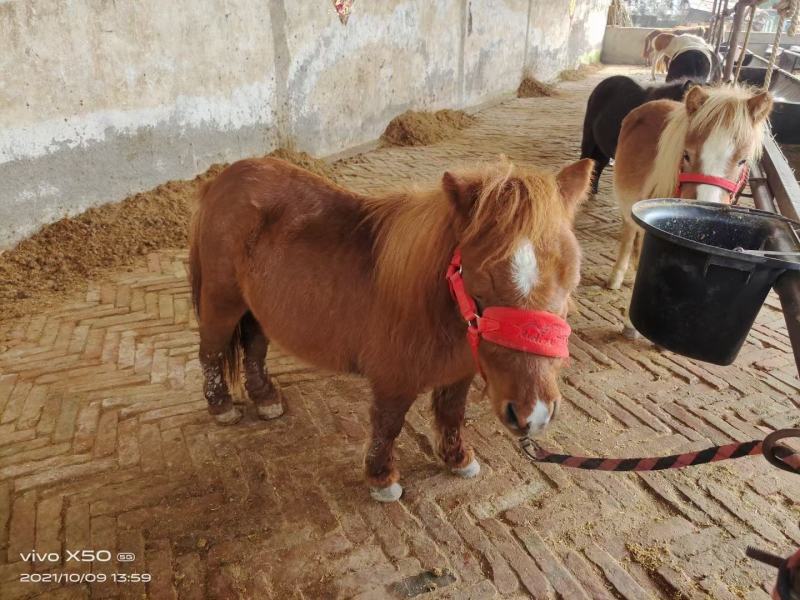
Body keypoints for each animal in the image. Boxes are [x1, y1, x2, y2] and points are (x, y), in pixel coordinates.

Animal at [190, 156, 593, 502]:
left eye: (570, 281)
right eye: (479, 285)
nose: (533, 414)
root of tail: (223, 179)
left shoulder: (458, 372)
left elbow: (451, 413)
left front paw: (457, 459)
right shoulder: (392, 379)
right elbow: (388, 425)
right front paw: (382, 479)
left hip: (256, 310)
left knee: (254, 348)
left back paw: (266, 399)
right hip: (222, 303)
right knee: (210, 351)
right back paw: (221, 405)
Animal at [607, 85, 773, 334]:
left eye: (743, 161)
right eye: (686, 154)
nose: (704, 208)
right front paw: (632, 325)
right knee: (628, 236)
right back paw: (615, 278)